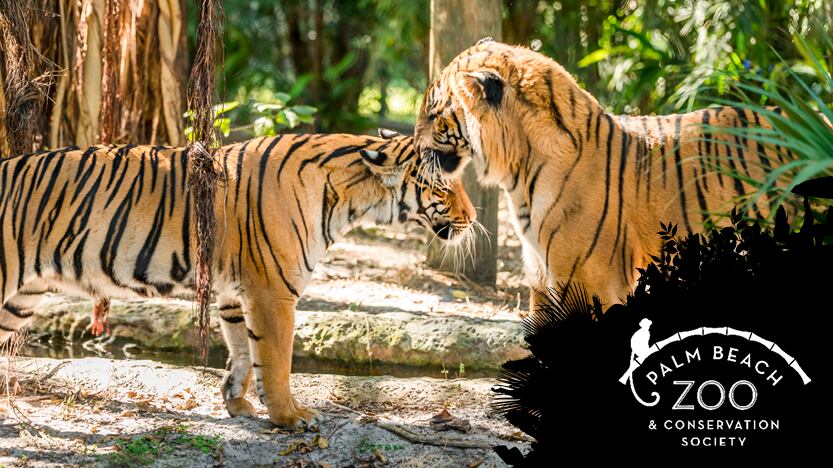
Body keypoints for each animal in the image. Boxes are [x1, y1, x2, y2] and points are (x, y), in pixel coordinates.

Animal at [0, 129, 476, 427]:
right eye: (444, 187)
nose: (472, 218)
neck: (350, 197)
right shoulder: (274, 291)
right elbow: (278, 358)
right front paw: (290, 417)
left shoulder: (234, 291)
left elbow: (244, 353)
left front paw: (238, 402)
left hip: (19, 299)